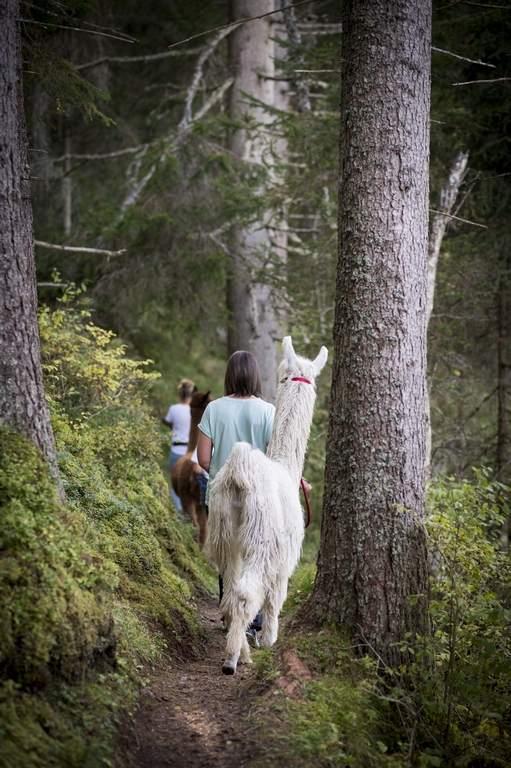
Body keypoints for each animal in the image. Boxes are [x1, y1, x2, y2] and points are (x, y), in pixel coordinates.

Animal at [206, 337, 328, 674]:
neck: (287, 467)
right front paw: (271, 640)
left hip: (224, 532)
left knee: (229, 592)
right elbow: (275, 599)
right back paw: (233, 659)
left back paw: (241, 650)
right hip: (261, 537)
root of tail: (239, 470)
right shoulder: (284, 556)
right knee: (247, 594)